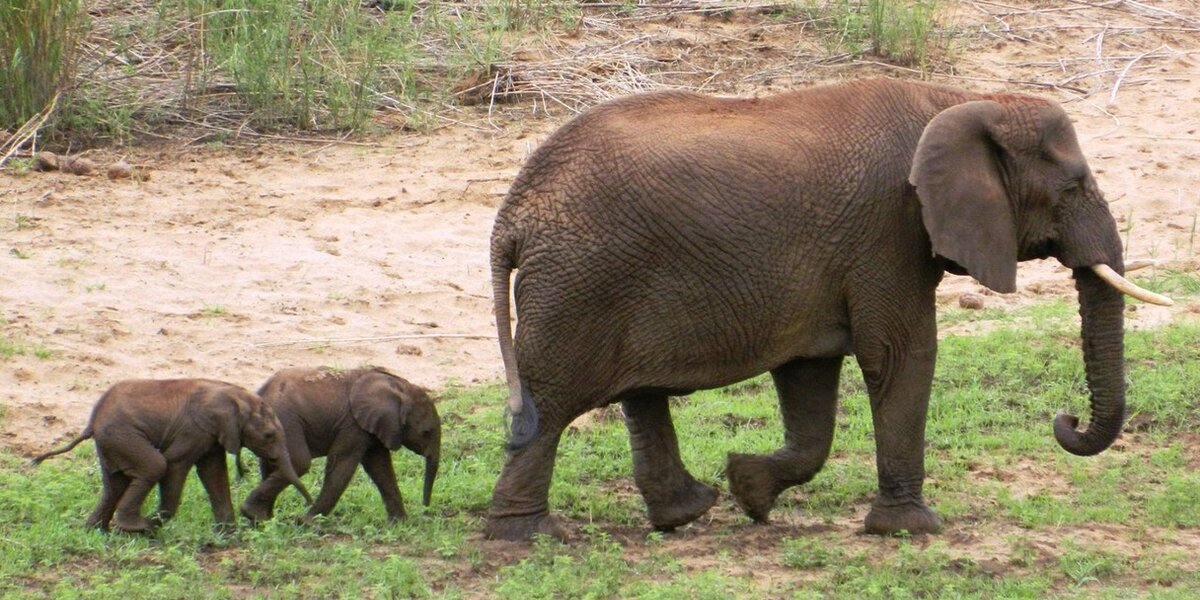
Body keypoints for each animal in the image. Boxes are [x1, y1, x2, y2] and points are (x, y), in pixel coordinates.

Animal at [31, 379, 312, 533]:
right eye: (268, 435)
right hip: (123, 434)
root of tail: (92, 420)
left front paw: (228, 535)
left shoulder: (211, 434)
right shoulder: (194, 428)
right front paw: (156, 523)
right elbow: (176, 464)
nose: (306, 509)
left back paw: (97, 532)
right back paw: (136, 527)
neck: (235, 395)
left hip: (112, 442)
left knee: (114, 483)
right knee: (155, 466)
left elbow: (214, 472)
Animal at [239, 366, 441, 523]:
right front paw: (307, 523)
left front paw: (400, 523)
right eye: (426, 432)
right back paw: (253, 514)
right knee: (299, 463)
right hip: (285, 418)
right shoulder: (352, 423)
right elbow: (342, 464)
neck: (398, 385)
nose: (426, 512)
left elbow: (380, 467)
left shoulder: (373, 425)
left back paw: (261, 520)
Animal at [485, 77, 1172, 541]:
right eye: (1074, 186)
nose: (1065, 419)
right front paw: (912, 530)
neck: (960, 99)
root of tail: (513, 213)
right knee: (552, 401)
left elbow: (809, 374)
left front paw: (750, 490)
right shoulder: (889, 228)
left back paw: (688, 512)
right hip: (580, 284)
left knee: (638, 394)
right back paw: (529, 538)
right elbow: (901, 354)